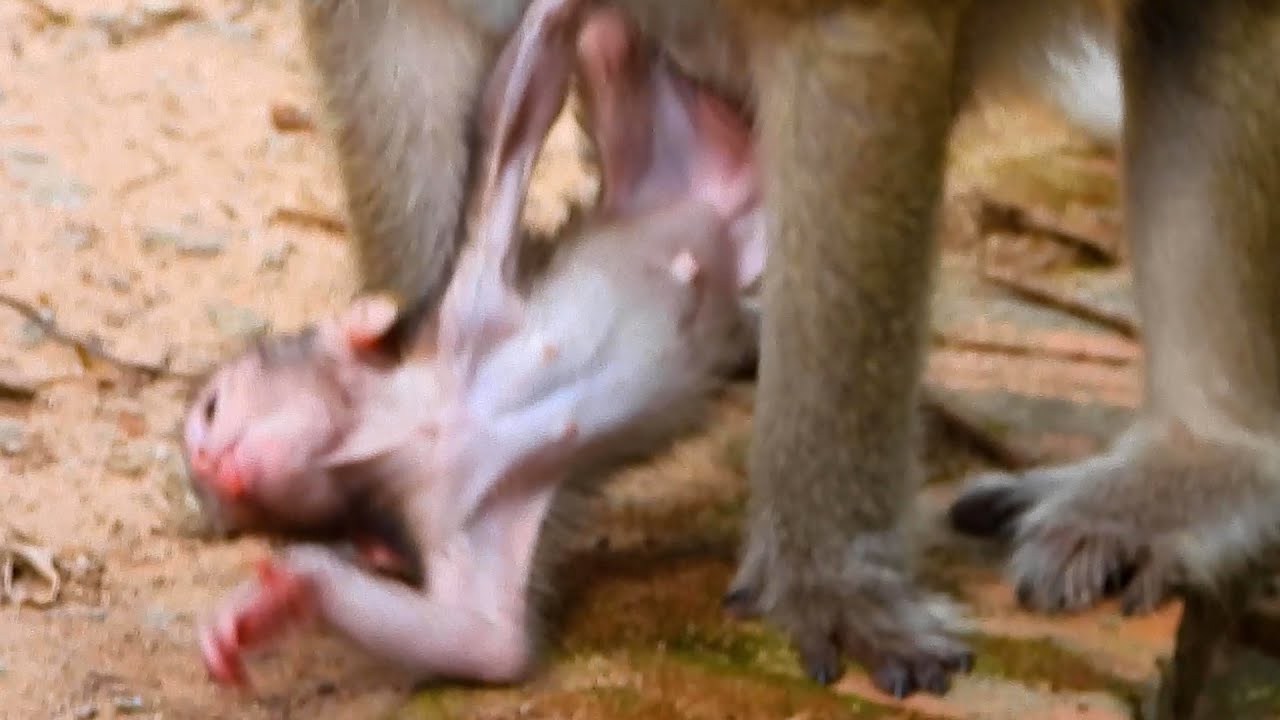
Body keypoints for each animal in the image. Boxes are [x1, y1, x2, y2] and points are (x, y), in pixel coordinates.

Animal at [184, 0, 765, 686]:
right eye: (222, 502)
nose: (207, 462)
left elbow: (514, 119)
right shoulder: (453, 514)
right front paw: (284, 595)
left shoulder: (467, 311)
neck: (425, 427)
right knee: (611, 49)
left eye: (211, 409)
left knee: (610, 46)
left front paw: (551, 17)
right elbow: (488, 644)